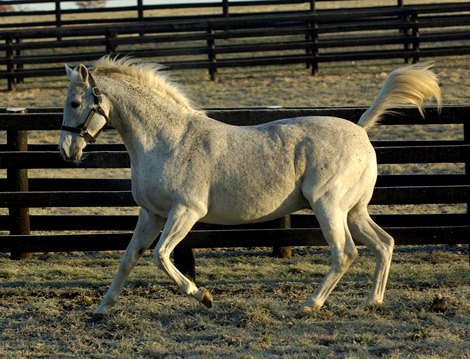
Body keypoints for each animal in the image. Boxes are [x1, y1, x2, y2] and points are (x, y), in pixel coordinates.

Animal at [58, 56, 440, 318]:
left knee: (345, 252)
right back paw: (373, 301)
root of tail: (361, 128)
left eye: (75, 103)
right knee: (384, 243)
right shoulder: (151, 214)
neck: (169, 139)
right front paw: (101, 309)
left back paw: (309, 305)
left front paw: (203, 296)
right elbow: (128, 258)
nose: (66, 151)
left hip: (329, 207)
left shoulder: (186, 211)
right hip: (354, 211)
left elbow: (160, 255)